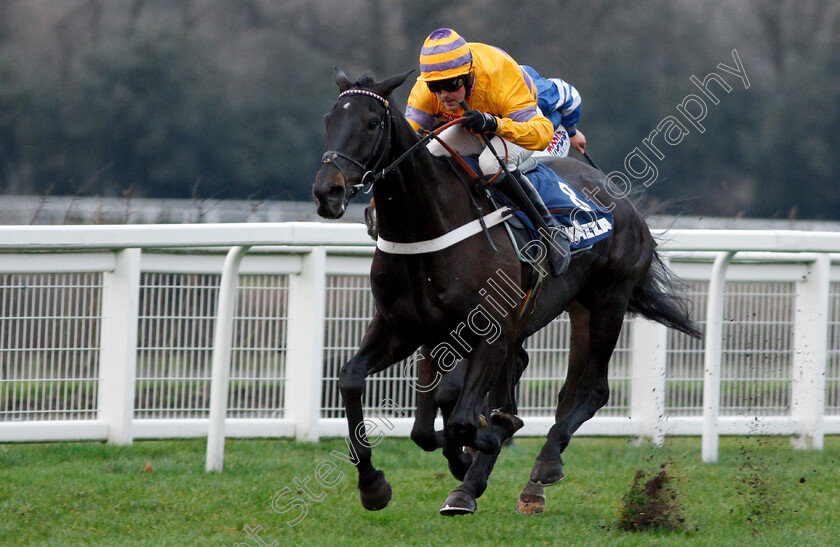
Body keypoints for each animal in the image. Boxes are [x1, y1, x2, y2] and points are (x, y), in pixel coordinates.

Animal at [312, 67, 700, 512]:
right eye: (329, 120)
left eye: (373, 123)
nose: (328, 192)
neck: (428, 227)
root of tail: (628, 204)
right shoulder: (401, 326)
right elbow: (355, 382)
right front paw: (373, 484)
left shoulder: (488, 330)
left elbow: (464, 419)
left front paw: (480, 445)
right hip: (572, 309)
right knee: (556, 388)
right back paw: (488, 481)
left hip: (608, 301)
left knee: (592, 389)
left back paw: (541, 465)